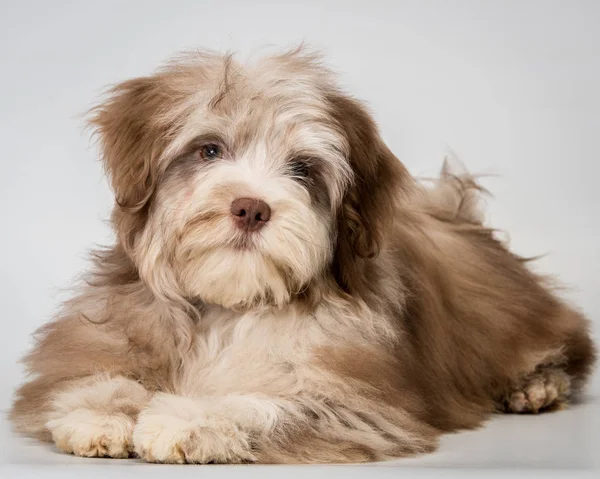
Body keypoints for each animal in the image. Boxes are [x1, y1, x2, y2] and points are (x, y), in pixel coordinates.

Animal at [9, 49, 596, 464]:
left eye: (303, 169)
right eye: (209, 150)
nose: (250, 207)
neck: (230, 307)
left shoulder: (357, 401)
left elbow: (269, 402)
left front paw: (189, 419)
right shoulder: (111, 328)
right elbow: (89, 374)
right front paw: (100, 413)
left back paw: (535, 386)